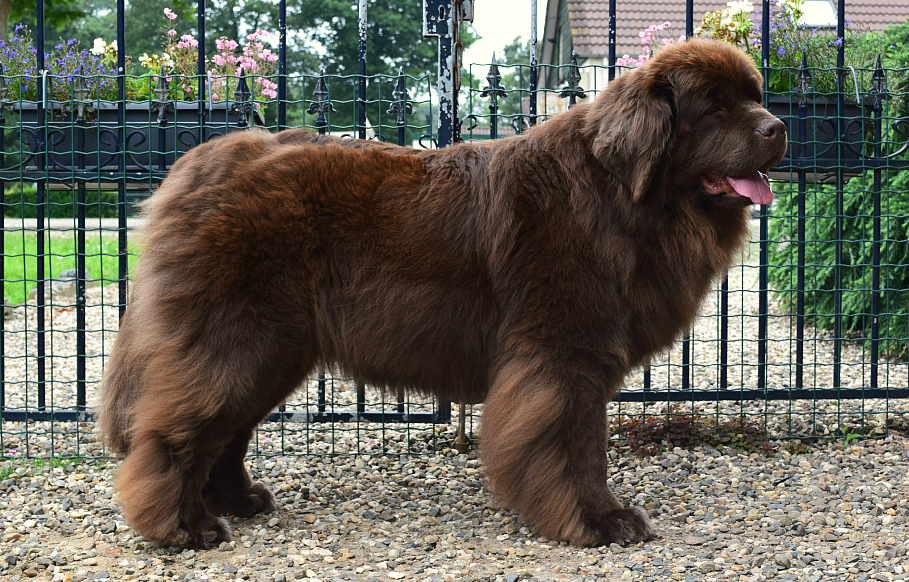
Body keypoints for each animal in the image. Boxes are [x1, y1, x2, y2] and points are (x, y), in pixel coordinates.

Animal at [100, 39, 786, 548]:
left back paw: (239, 501)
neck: (621, 195)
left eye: (754, 98)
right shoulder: (564, 355)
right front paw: (599, 521)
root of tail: (208, 159)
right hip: (243, 337)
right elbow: (575, 446)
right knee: (181, 427)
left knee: (229, 426)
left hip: (276, 347)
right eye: (714, 108)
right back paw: (183, 527)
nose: (778, 128)